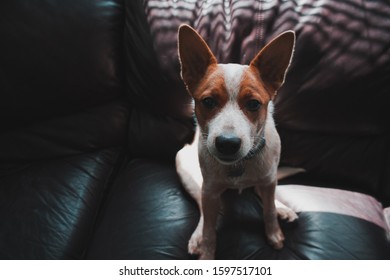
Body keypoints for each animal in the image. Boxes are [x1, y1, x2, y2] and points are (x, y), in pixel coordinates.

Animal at [175, 25, 298, 260]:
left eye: (254, 104)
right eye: (208, 102)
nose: (227, 143)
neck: (239, 166)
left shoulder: (269, 178)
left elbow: (268, 209)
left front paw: (274, 232)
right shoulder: (210, 190)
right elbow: (209, 230)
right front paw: (206, 252)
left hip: (268, 177)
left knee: (265, 193)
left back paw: (282, 207)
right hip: (191, 175)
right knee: (203, 210)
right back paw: (197, 237)